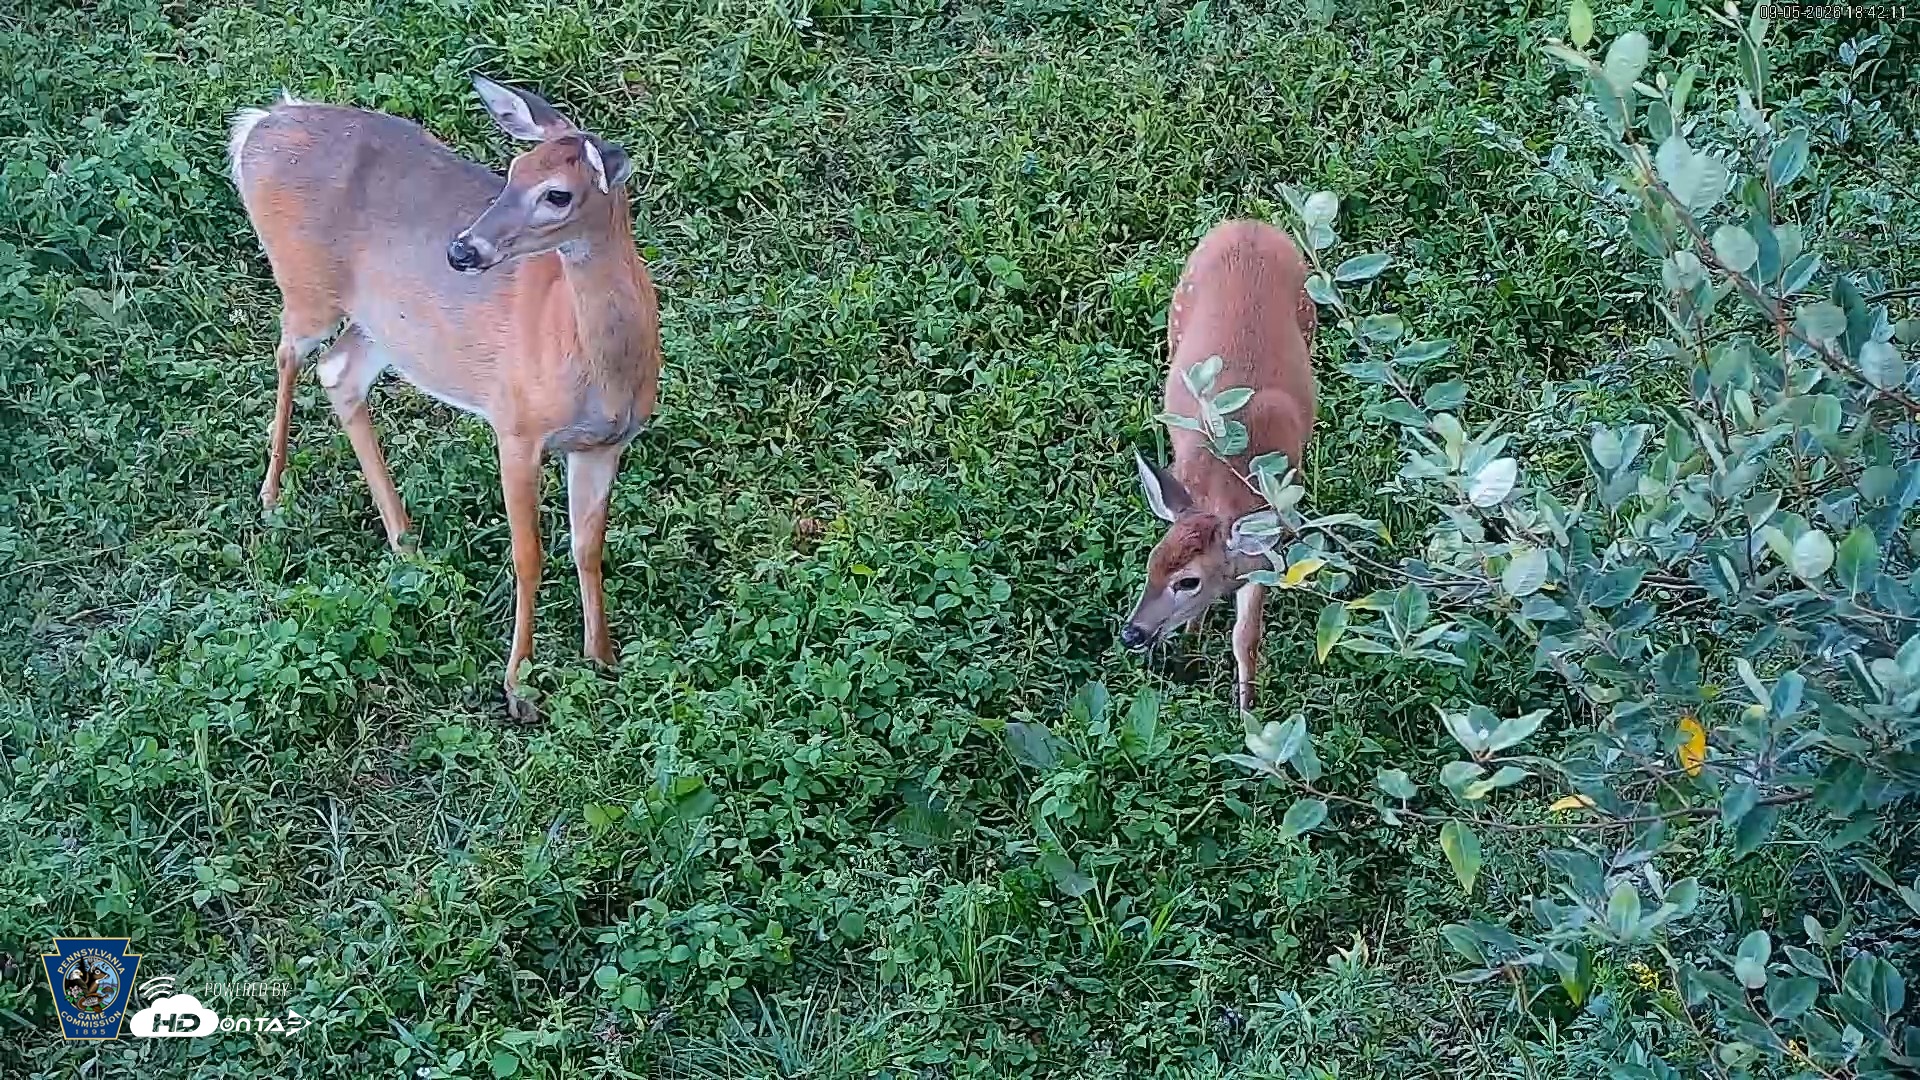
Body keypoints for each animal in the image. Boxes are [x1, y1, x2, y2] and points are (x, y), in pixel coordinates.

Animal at [229, 77, 663, 719]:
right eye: (512, 170)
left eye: (557, 194)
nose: (462, 251)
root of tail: (256, 126)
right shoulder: (516, 426)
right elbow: (529, 556)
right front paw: (518, 688)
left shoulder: (605, 445)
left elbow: (587, 547)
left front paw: (603, 659)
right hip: (306, 286)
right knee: (289, 353)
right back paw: (272, 496)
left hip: (385, 327)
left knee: (339, 372)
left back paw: (407, 544)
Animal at [1120, 219, 1317, 712]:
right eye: (1150, 562)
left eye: (1188, 582)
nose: (1132, 633)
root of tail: (1249, 224)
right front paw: (1192, 640)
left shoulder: (1268, 542)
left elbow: (1246, 636)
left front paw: (1248, 711)